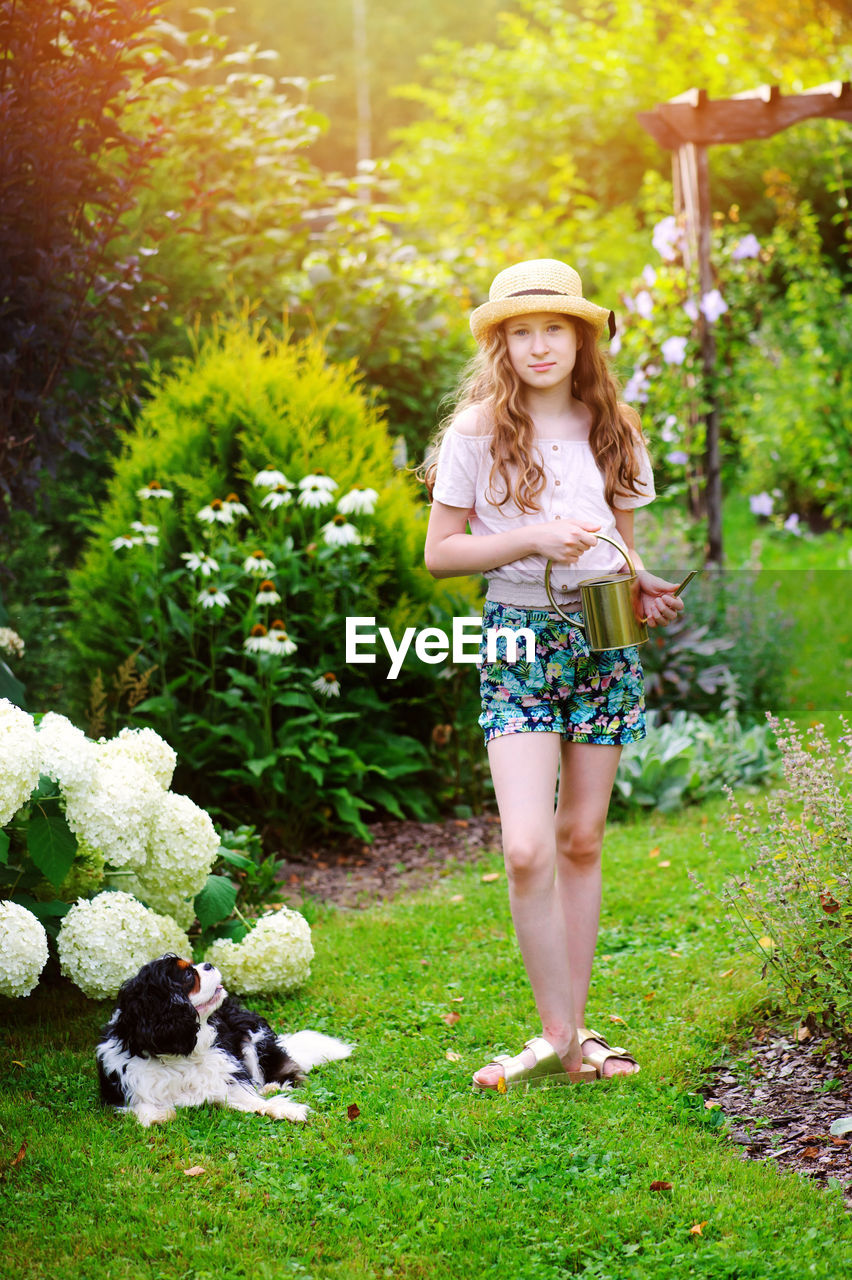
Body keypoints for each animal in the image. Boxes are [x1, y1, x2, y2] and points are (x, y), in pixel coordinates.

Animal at [97, 957, 350, 1126]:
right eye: (188, 976)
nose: (209, 964)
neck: (180, 1052)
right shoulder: (125, 1089)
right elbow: (146, 1108)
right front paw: (159, 1114)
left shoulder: (225, 1076)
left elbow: (252, 1099)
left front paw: (282, 1108)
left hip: (250, 1035)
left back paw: (271, 1086)